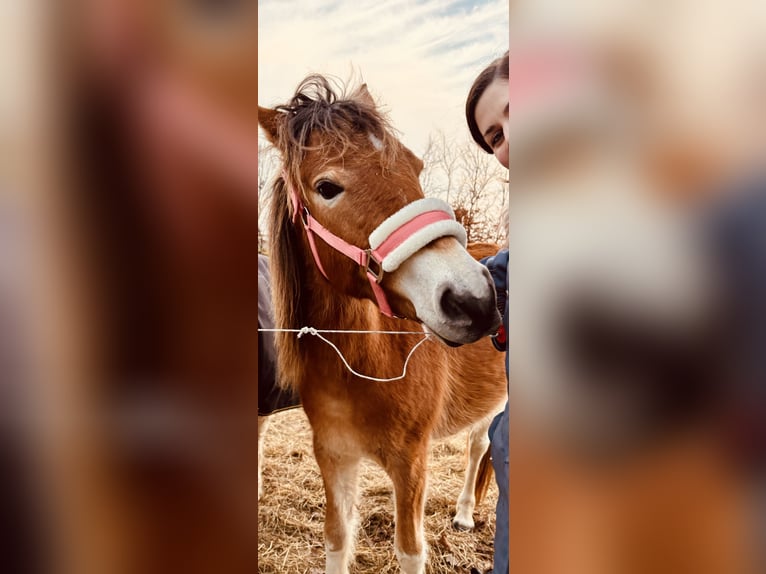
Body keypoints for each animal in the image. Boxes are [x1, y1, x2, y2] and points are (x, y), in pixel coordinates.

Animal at [259, 76, 508, 573]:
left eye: (415, 165)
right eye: (327, 187)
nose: (474, 300)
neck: (364, 365)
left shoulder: (411, 462)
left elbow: (410, 550)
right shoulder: (334, 457)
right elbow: (337, 539)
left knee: (478, 447)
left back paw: (465, 514)